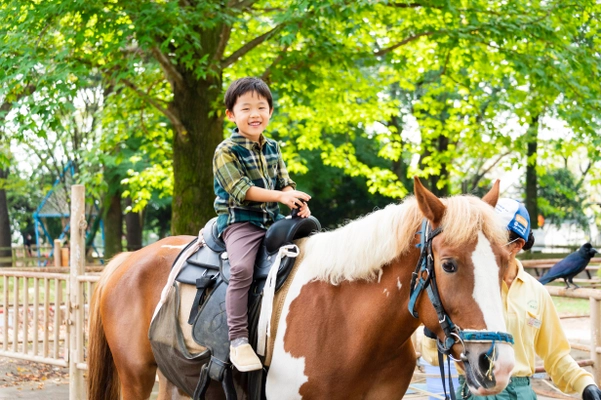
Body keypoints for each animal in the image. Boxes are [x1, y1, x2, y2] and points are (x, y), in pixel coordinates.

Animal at [89, 179, 516, 400]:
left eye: (508, 267)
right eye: (449, 265)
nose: (498, 365)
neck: (350, 326)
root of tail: (126, 260)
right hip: (135, 377)